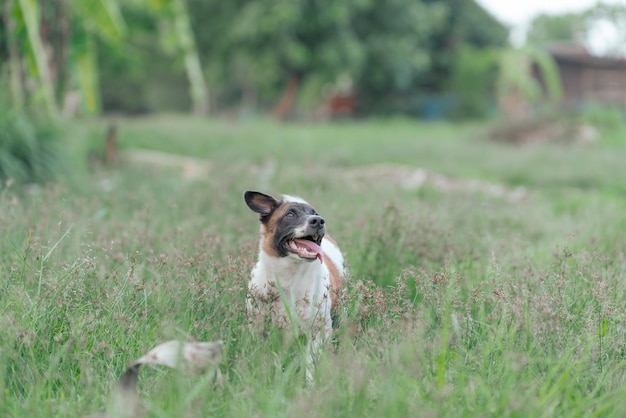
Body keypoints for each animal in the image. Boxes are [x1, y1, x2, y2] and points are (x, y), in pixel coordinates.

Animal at [243, 189, 344, 372]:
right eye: (290, 215)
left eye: (315, 214)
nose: (319, 221)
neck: (290, 275)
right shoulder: (258, 325)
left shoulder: (319, 330)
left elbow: (311, 361)